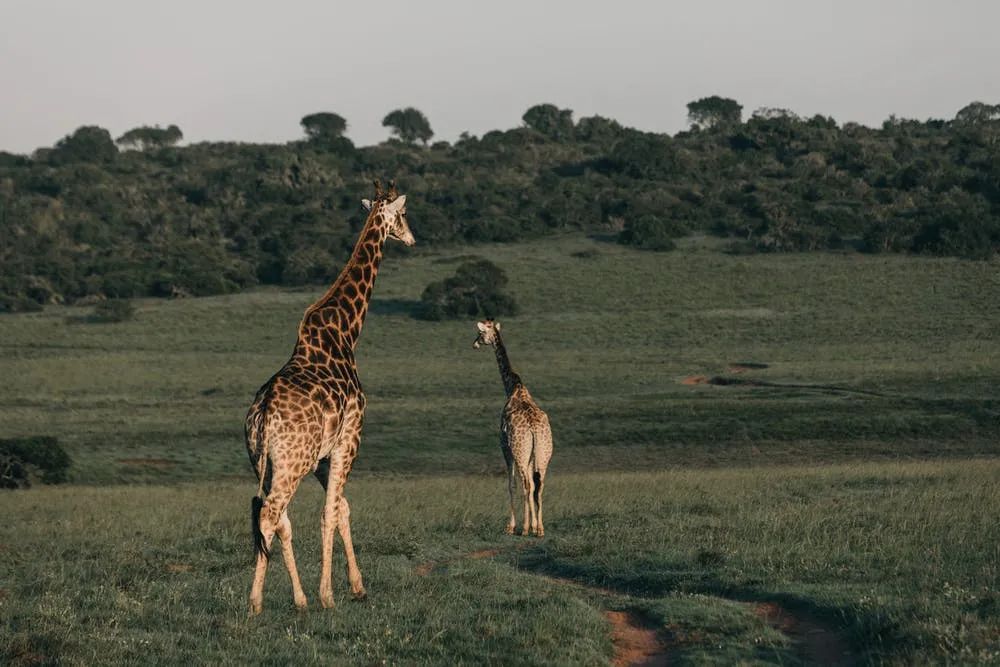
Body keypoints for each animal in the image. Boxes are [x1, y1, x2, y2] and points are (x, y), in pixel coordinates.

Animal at [246, 179, 414, 616]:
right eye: (404, 214)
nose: (411, 237)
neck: (345, 333)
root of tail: (263, 414)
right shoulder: (349, 439)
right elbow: (329, 512)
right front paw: (330, 594)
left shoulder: (323, 454)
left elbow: (341, 508)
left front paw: (355, 586)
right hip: (292, 463)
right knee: (270, 513)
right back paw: (257, 601)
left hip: (266, 462)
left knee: (277, 517)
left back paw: (297, 599)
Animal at [472, 320, 552, 536]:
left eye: (480, 333)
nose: (474, 344)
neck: (512, 387)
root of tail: (534, 429)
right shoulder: (530, 455)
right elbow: (531, 487)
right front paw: (533, 525)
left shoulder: (505, 447)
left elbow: (511, 484)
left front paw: (512, 526)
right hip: (543, 453)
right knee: (539, 486)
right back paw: (540, 528)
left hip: (520, 451)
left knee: (527, 484)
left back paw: (525, 529)